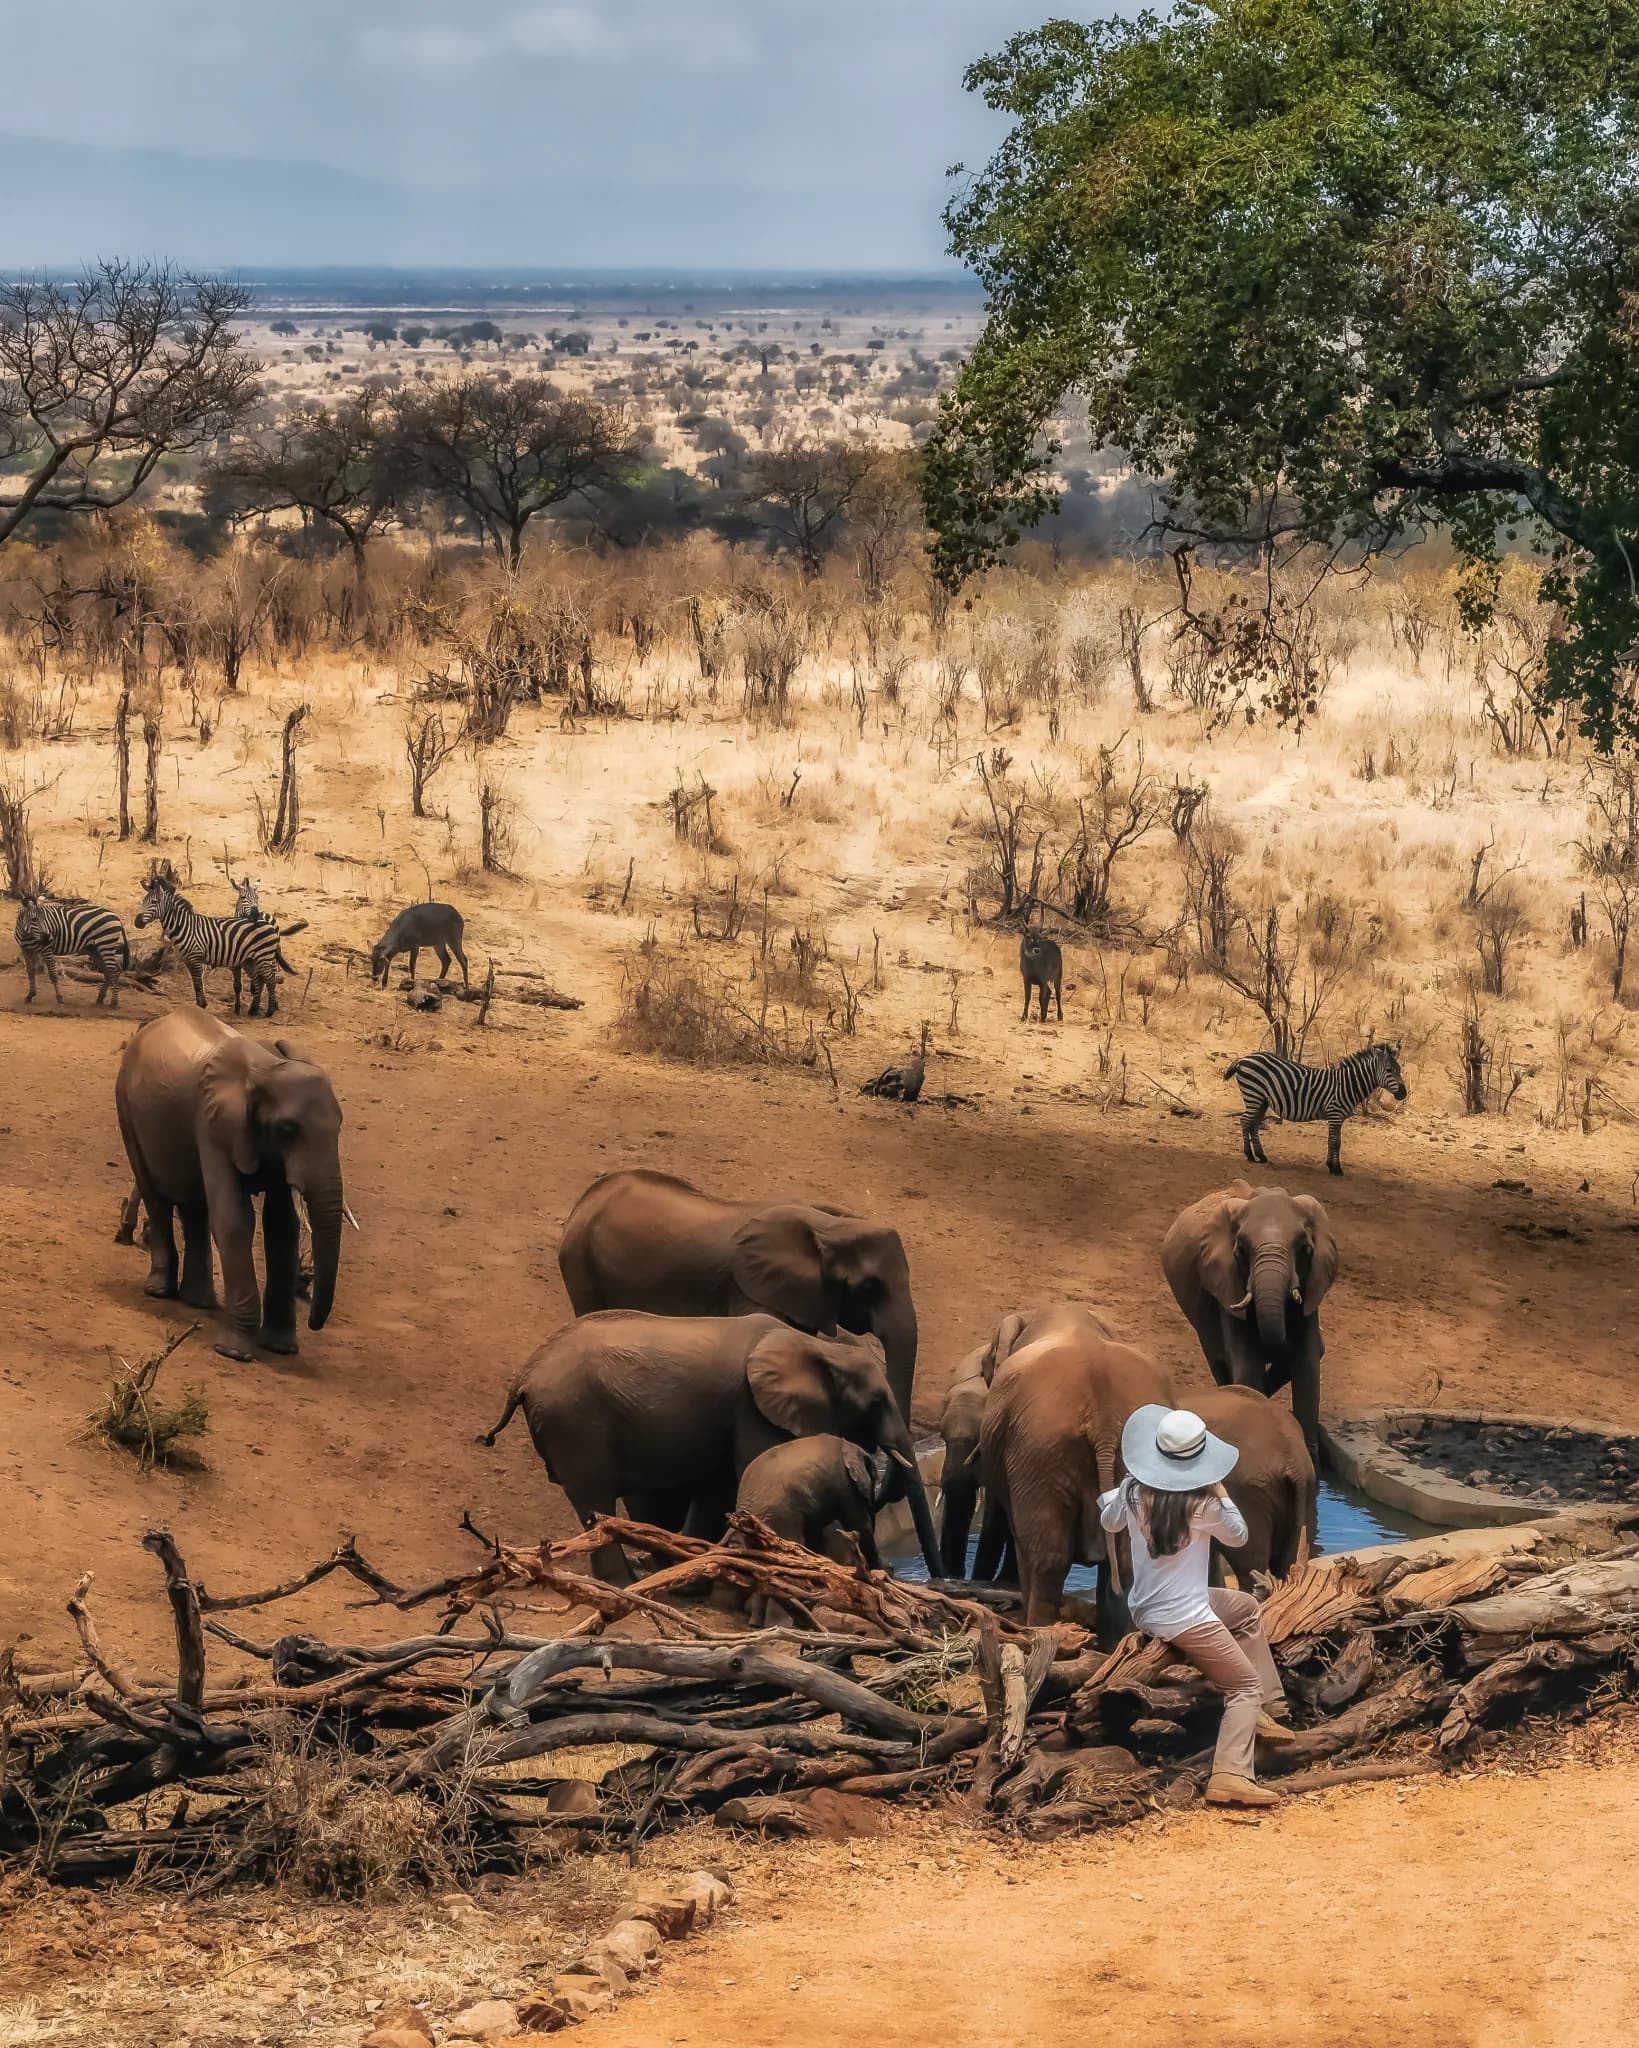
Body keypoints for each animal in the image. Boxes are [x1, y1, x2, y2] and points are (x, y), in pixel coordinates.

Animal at [115, 1009, 346, 1361]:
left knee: (195, 1206)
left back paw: (198, 1302)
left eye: (339, 1127)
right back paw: (158, 1291)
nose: (314, 1323)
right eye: (287, 1129)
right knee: (156, 1197)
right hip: (125, 1104)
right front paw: (235, 1353)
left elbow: (281, 1227)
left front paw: (280, 1349)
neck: (266, 1069)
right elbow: (235, 1220)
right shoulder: (214, 1124)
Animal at [479, 1311, 941, 1583]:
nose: (936, 1578)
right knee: (595, 1499)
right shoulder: (751, 1406)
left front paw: (696, 1561)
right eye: (875, 1402)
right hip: (576, 1421)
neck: (816, 1347)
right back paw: (624, 1583)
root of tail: (526, 1374)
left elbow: (717, 1484)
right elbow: (748, 1465)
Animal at [1161, 1181, 1338, 1459]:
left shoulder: (1312, 1286)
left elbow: (1308, 1361)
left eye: (1305, 1249)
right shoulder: (1225, 1284)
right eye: (1241, 1251)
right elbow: (1247, 1363)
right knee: (1218, 1358)